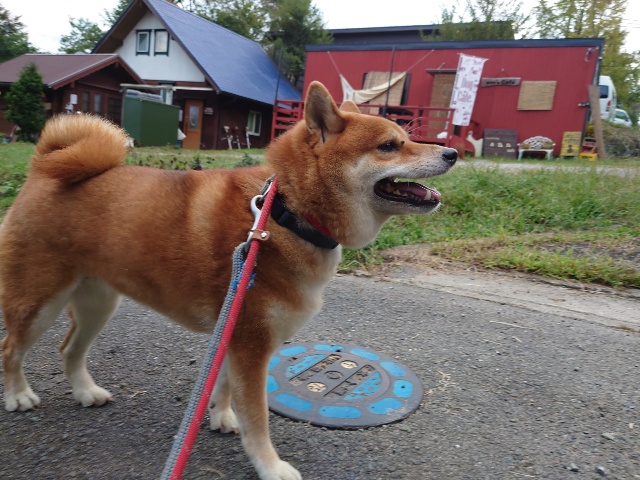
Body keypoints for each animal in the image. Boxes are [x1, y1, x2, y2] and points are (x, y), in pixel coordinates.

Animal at [0, 81, 456, 480]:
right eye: (389, 145)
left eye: (404, 138)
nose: (452, 152)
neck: (285, 214)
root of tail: (41, 169)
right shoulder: (252, 343)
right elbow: (257, 420)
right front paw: (270, 467)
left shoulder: (234, 333)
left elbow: (222, 385)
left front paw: (219, 415)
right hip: (39, 303)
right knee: (11, 348)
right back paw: (18, 394)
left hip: (98, 303)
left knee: (68, 349)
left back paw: (85, 391)